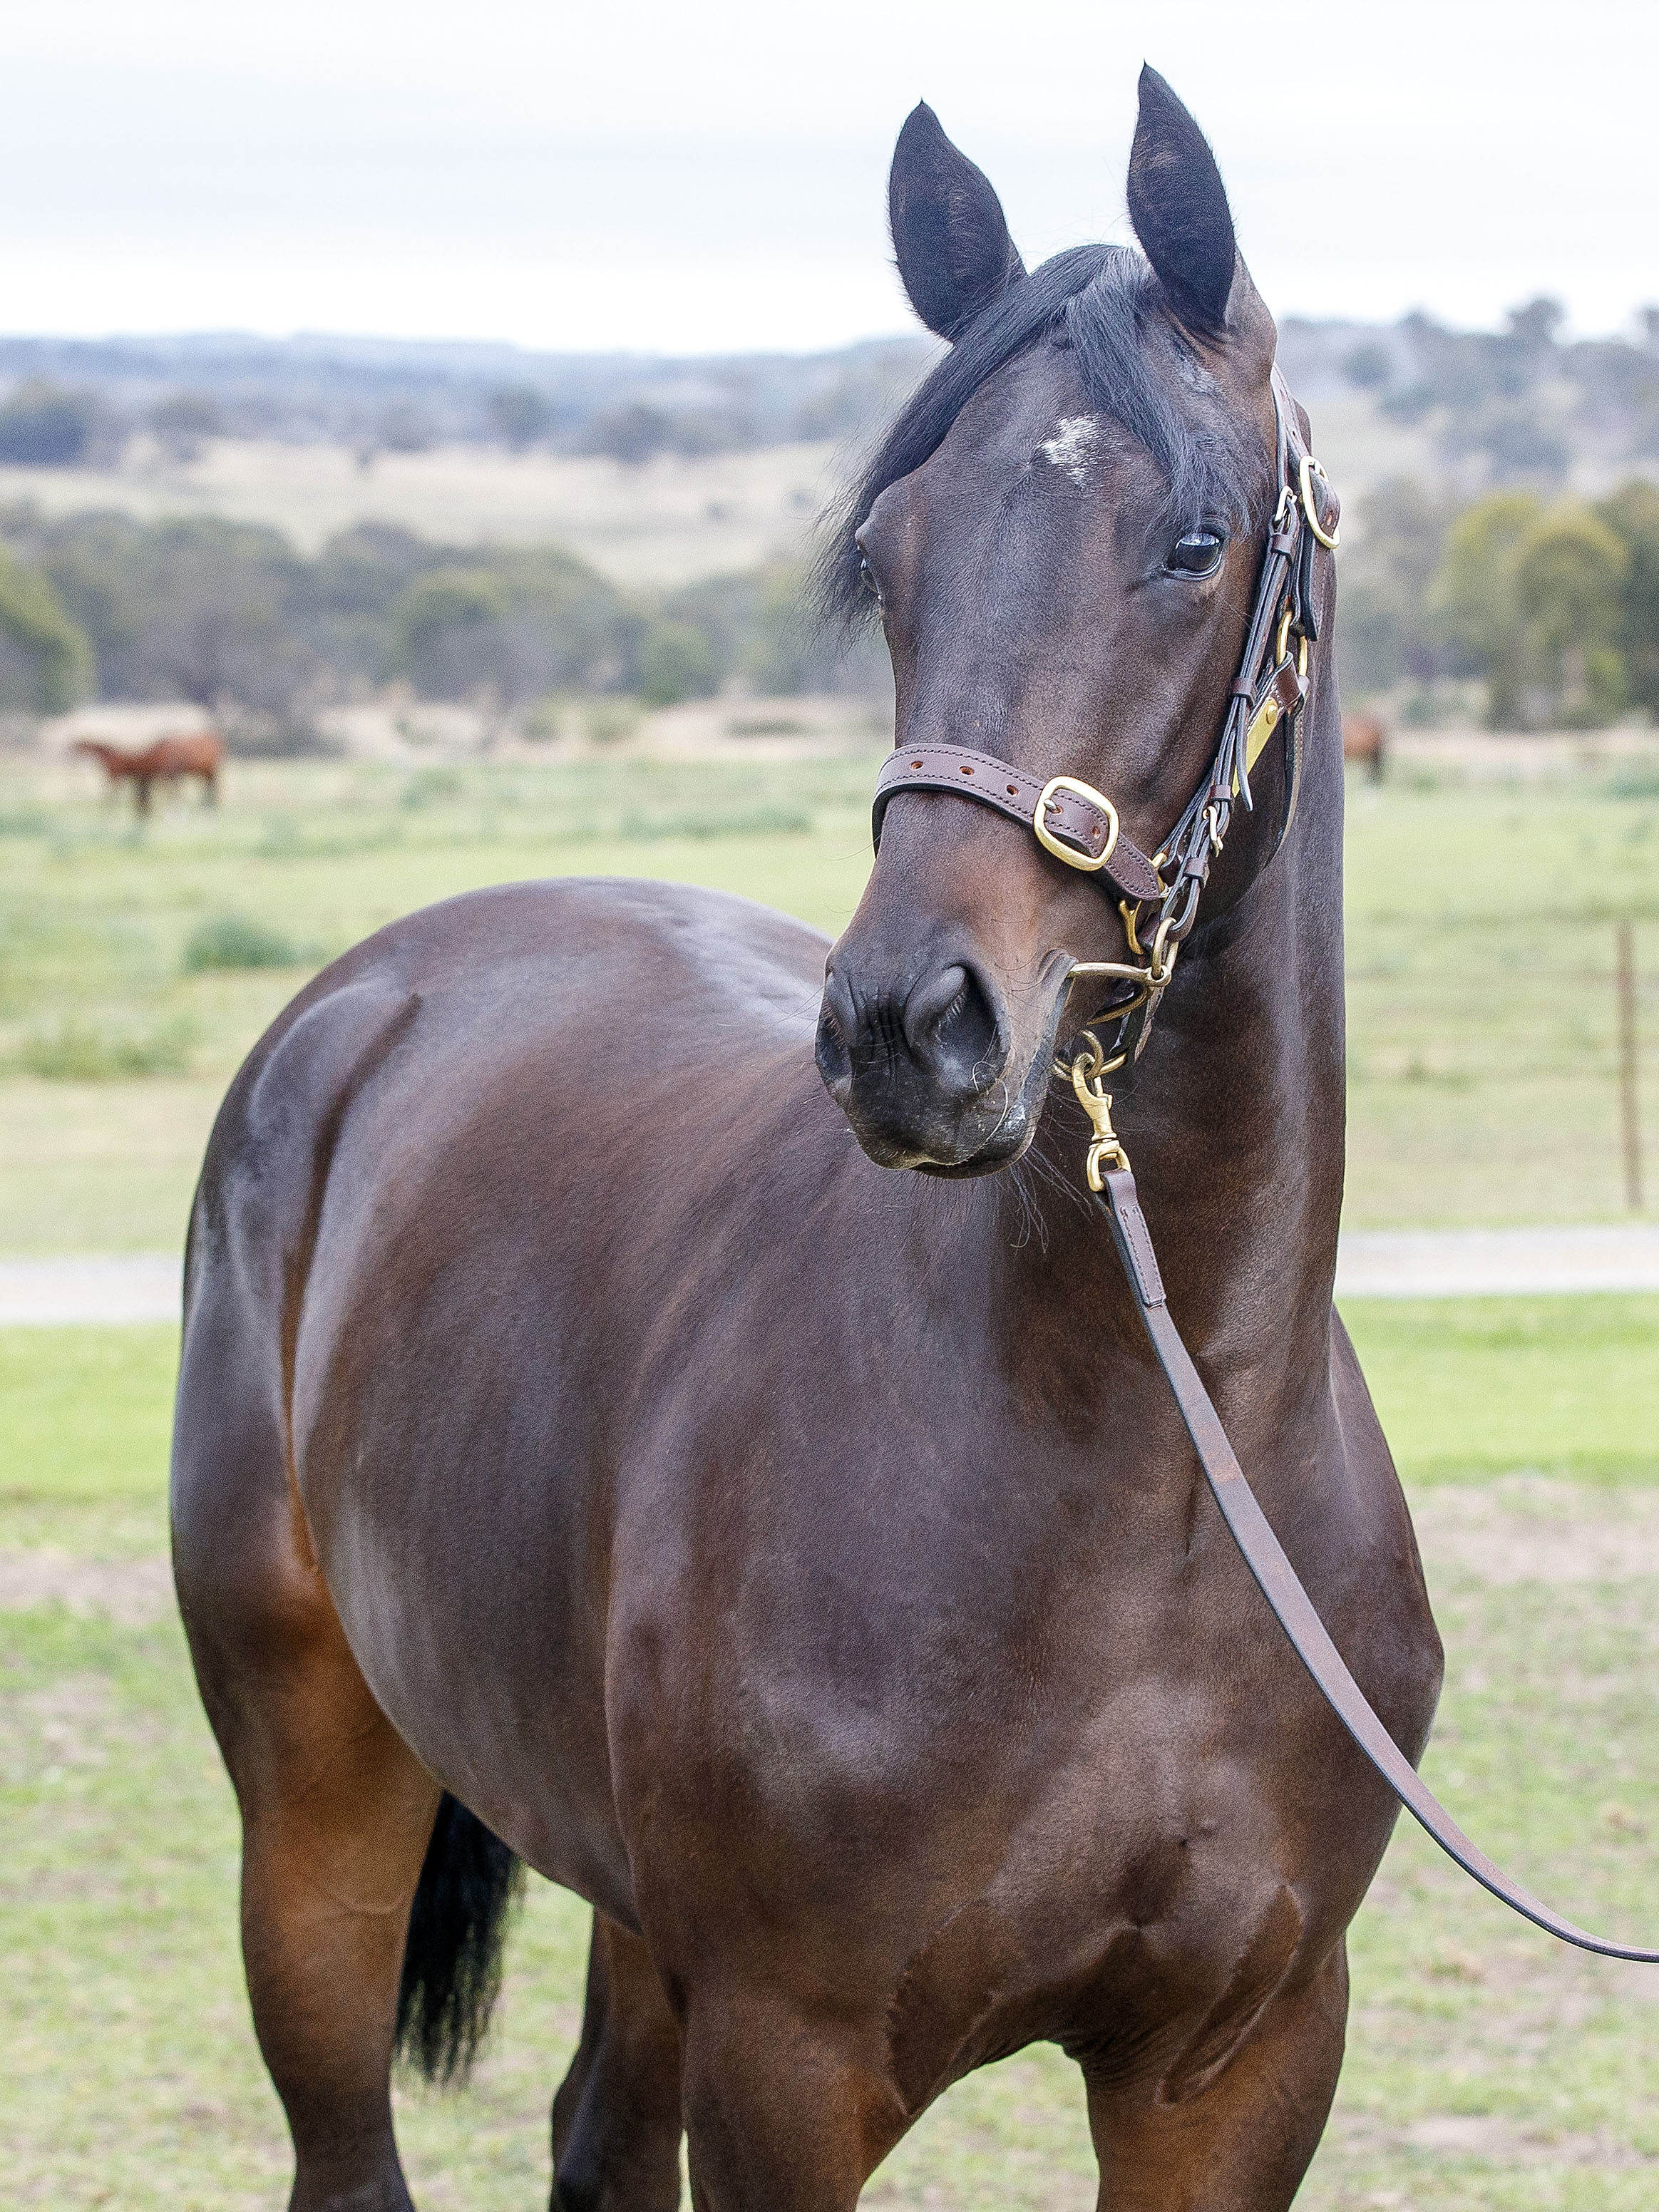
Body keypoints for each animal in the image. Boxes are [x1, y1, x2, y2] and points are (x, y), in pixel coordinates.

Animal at [73, 730, 223, 816]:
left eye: (79, 746)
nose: (72, 757)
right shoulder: (145, 778)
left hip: (207, 772)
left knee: (211, 788)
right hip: (203, 773)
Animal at [172, 69, 1442, 2212]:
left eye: (1191, 542)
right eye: (889, 551)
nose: (909, 1030)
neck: (1157, 1466)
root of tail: (361, 1005)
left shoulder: (1240, 2062)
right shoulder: (791, 2058)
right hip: (314, 1807)